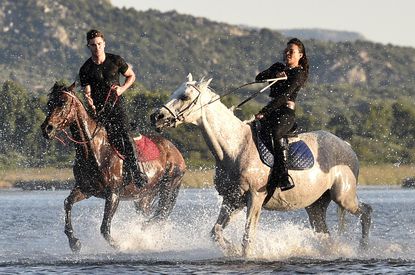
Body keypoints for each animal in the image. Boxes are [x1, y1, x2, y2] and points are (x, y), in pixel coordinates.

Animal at [41, 82, 187, 254]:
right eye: (49, 103)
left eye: (63, 102)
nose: (46, 128)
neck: (95, 150)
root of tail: (176, 151)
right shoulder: (86, 189)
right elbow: (67, 203)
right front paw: (74, 242)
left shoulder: (113, 194)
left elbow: (105, 228)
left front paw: (120, 245)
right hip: (146, 195)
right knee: (153, 215)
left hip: (169, 186)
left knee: (160, 215)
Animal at [152, 74, 374, 258]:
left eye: (185, 96)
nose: (157, 117)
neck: (236, 147)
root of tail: (346, 146)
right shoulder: (232, 200)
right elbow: (215, 232)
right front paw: (230, 249)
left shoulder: (255, 198)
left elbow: (247, 238)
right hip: (316, 205)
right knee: (326, 234)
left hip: (343, 197)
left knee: (366, 212)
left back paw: (363, 249)